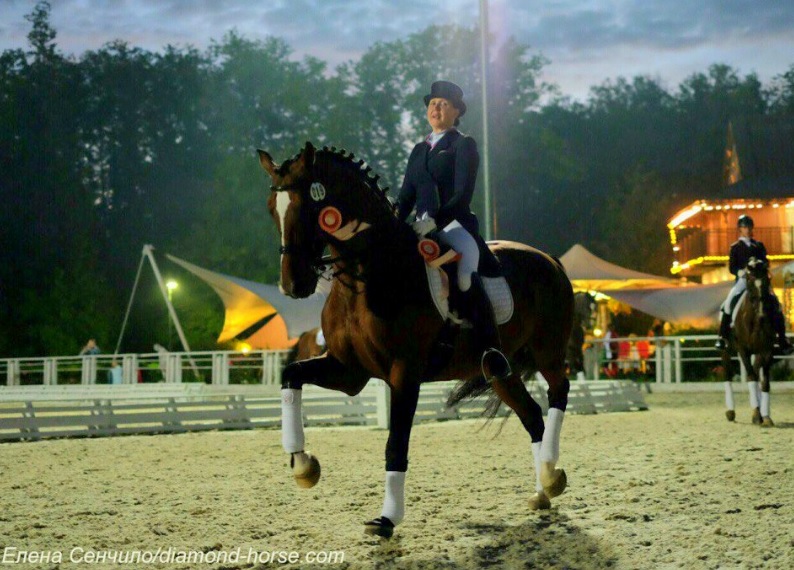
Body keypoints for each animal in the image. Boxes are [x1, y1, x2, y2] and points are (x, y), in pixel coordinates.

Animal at [257, 142, 574, 538]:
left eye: (307, 206)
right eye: (273, 209)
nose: (293, 285)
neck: (369, 276)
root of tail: (551, 260)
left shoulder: (404, 374)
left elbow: (396, 444)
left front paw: (387, 518)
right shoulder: (348, 372)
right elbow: (291, 376)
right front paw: (303, 465)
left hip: (548, 351)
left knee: (559, 392)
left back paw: (551, 473)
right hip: (500, 370)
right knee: (531, 415)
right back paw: (543, 487)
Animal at [721, 257, 775, 426]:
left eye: (767, 280)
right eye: (750, 281)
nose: (762, 314)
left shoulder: (767, 351)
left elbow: (764, 382)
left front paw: (765, 416)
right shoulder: (743, 350)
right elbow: (751, 377)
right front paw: (757, 414)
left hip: (756, 353)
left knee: (757, 372)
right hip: (726, 350)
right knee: (728, 375)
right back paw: (730, 412)